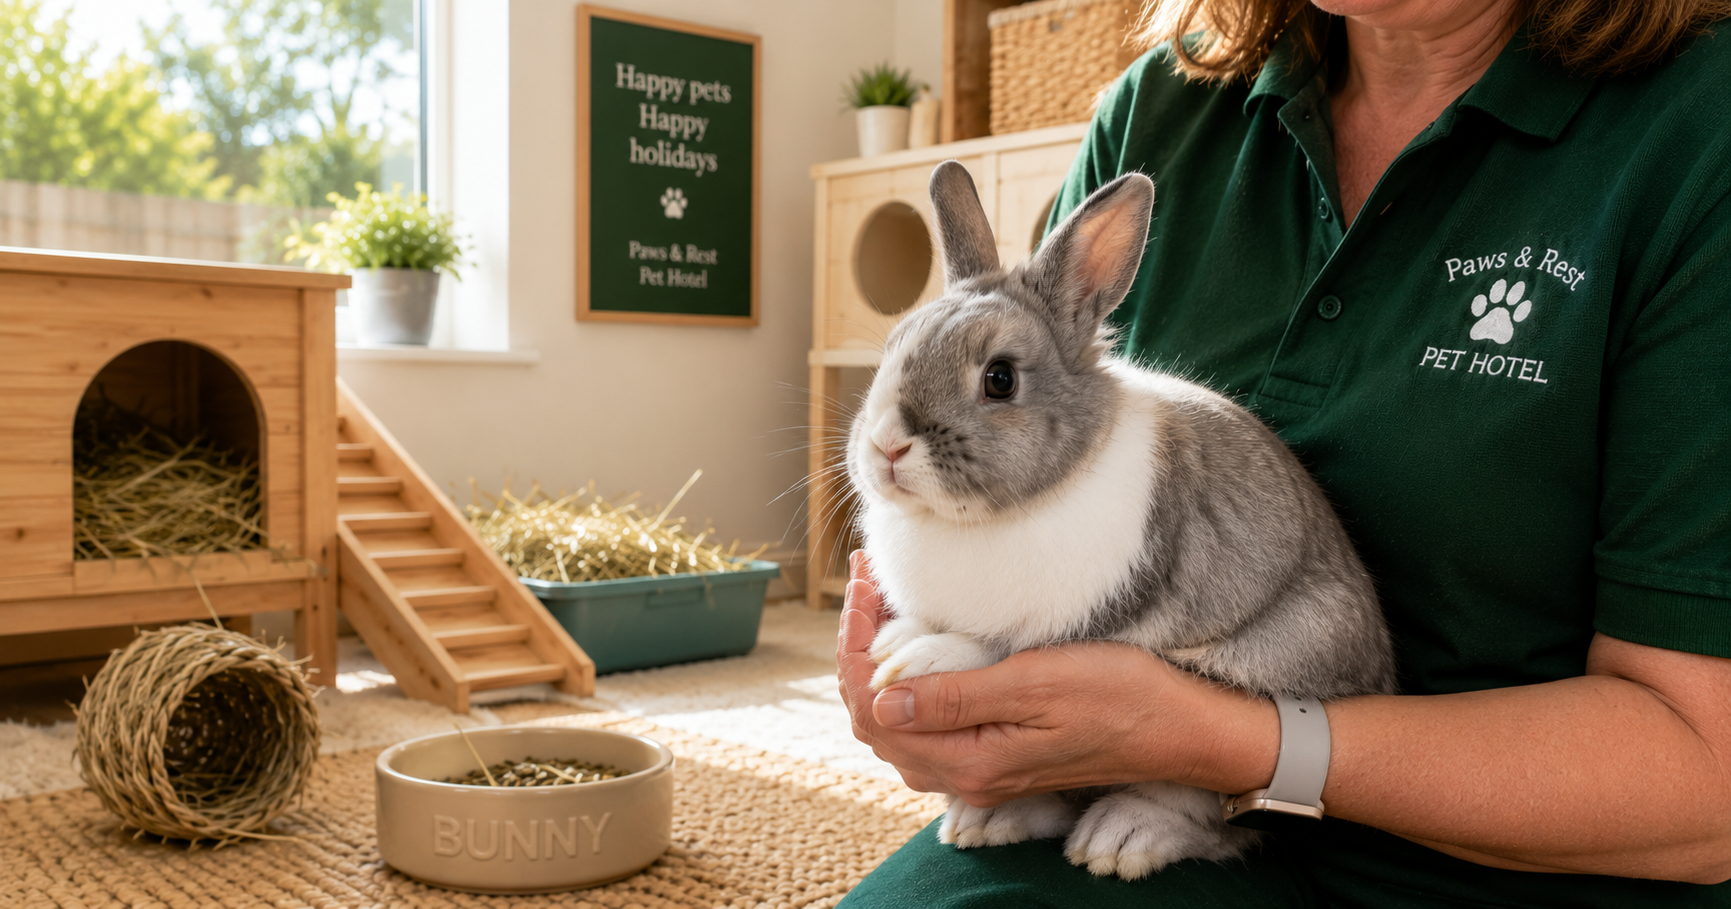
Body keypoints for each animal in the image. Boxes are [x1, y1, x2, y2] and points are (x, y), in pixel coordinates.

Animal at [845, 160, 1397, 880]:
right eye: (890, 348)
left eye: (999, 378)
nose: (885, 446)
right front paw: (894, 642)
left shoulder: (1077, 620)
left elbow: (994, 646)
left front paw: (916, 660)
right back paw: (985, 821)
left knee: (1211, 822)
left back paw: (1119, 841)